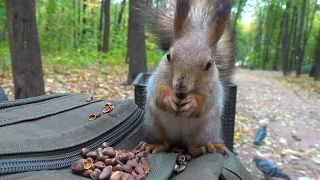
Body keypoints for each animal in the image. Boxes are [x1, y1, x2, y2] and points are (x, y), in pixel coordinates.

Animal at [134, 0, 236, 158]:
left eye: (208, 65)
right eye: (168, 56)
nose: (180, 85)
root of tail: (179, 139)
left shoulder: (213, 88)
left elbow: (206, 100)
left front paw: (193, 103)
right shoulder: (158, 78)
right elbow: (158, 90)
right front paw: (168, 99)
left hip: (206, 129)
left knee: (192, 146)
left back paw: (206, 146)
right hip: (154, 123)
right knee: (165, 142)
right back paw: (154, 145)